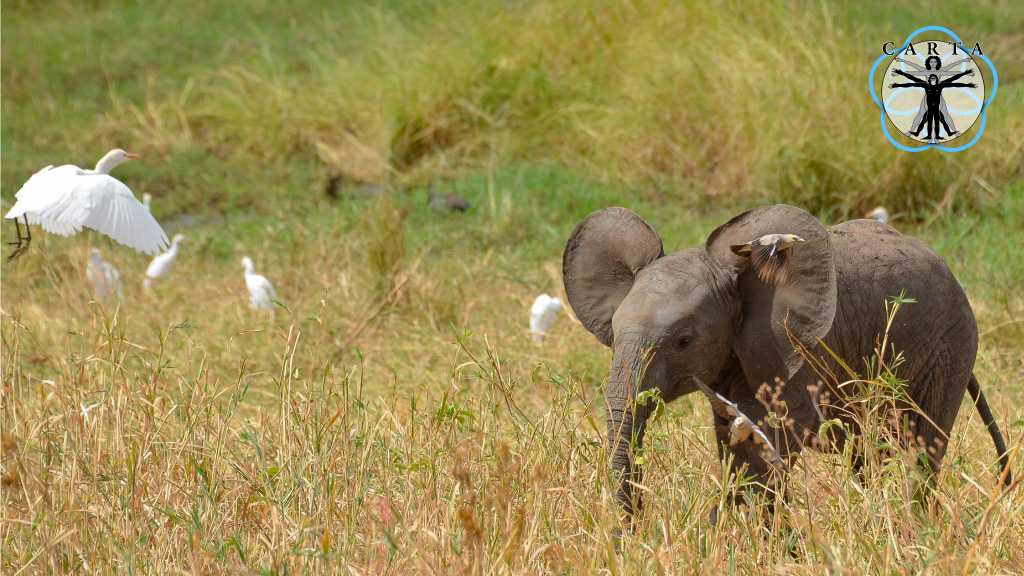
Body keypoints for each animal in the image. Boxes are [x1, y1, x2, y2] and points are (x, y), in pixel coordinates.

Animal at [565, 202, 1011, 520]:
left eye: (684, 342)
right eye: (613, 333)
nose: (633, 532)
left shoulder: (798, 352)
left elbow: (763, 452)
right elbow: (735, 442)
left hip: (951, 345)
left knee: (921, 449)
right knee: (871, 454)